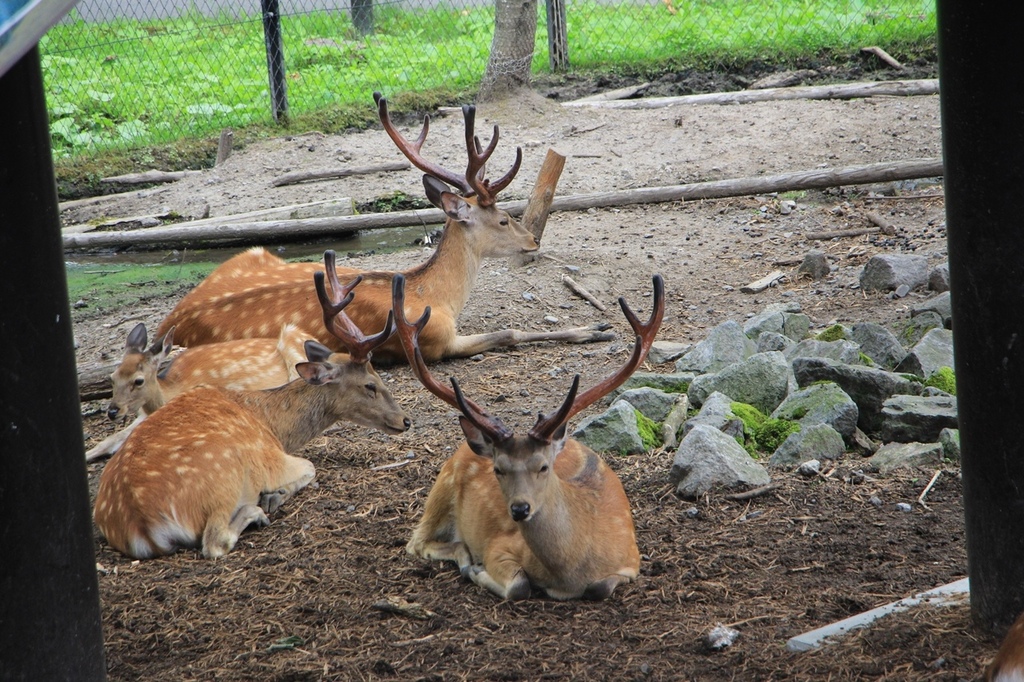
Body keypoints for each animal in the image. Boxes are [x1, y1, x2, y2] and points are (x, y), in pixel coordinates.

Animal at [85, 319, 309, 458]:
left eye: (138, 380)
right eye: (112, 378)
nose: (113, 411)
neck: (169, 390)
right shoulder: (141, 416)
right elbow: (111, 440)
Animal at [155, 94, 610, 366]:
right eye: (502, 220)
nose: (533, 240)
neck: (437, 298)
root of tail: (167, 323)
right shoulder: (432, 341)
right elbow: (509, 332)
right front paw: (595, 329)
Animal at [391, 270, 663, 602]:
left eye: (543, 466)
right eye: (498, 469)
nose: (519, 509)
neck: (569, 575)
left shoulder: (631, 559)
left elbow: (599, 588)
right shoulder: (499, 546)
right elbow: (519, 587)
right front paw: (478, 571)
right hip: (441, 490)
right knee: (418, 540)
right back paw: (464, 557)